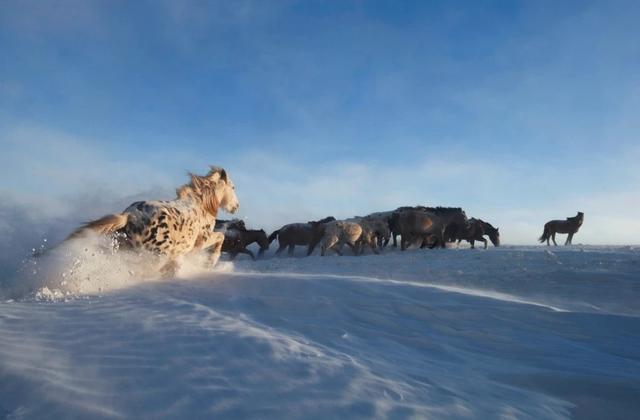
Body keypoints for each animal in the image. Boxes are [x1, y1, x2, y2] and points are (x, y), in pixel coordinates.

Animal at [67, 167, 240, 276]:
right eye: (233, 187)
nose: (236, 206)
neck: (202, 204)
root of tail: (129, 215)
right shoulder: (202, 239)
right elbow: (220, 237)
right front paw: (210, 262)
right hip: (156, 257)